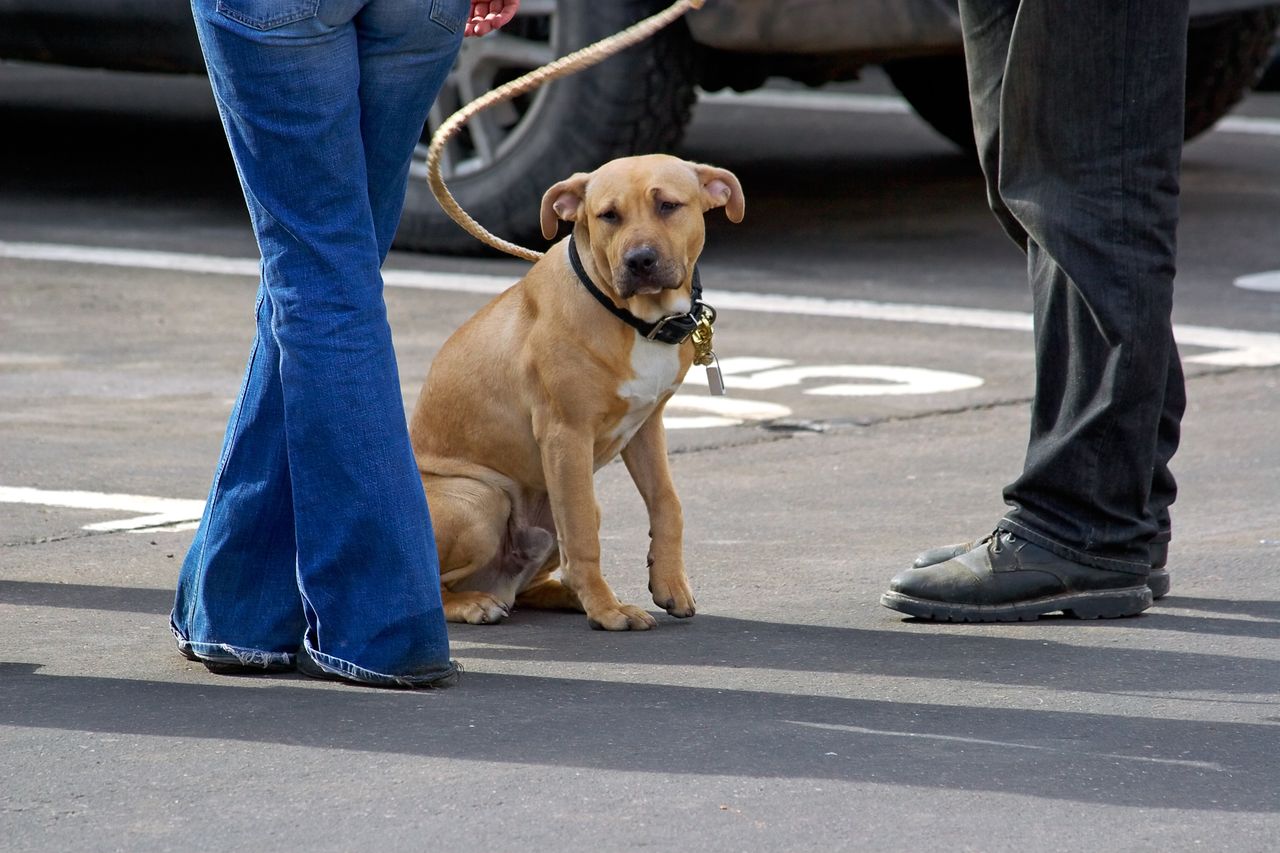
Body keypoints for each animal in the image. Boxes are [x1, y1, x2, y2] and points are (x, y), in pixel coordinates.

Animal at [409, 154, 747, 625]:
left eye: (668, 206)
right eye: (608, 215)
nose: (640, 261)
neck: (634, 319)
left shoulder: (647, 426)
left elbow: (667, 503)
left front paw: (668, 582)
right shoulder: (565, 434)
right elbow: (583, 534)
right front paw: (607, 611)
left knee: (532, 585)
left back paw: (566, 595)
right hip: (480, 500)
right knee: (433, 584)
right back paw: (477, 603)